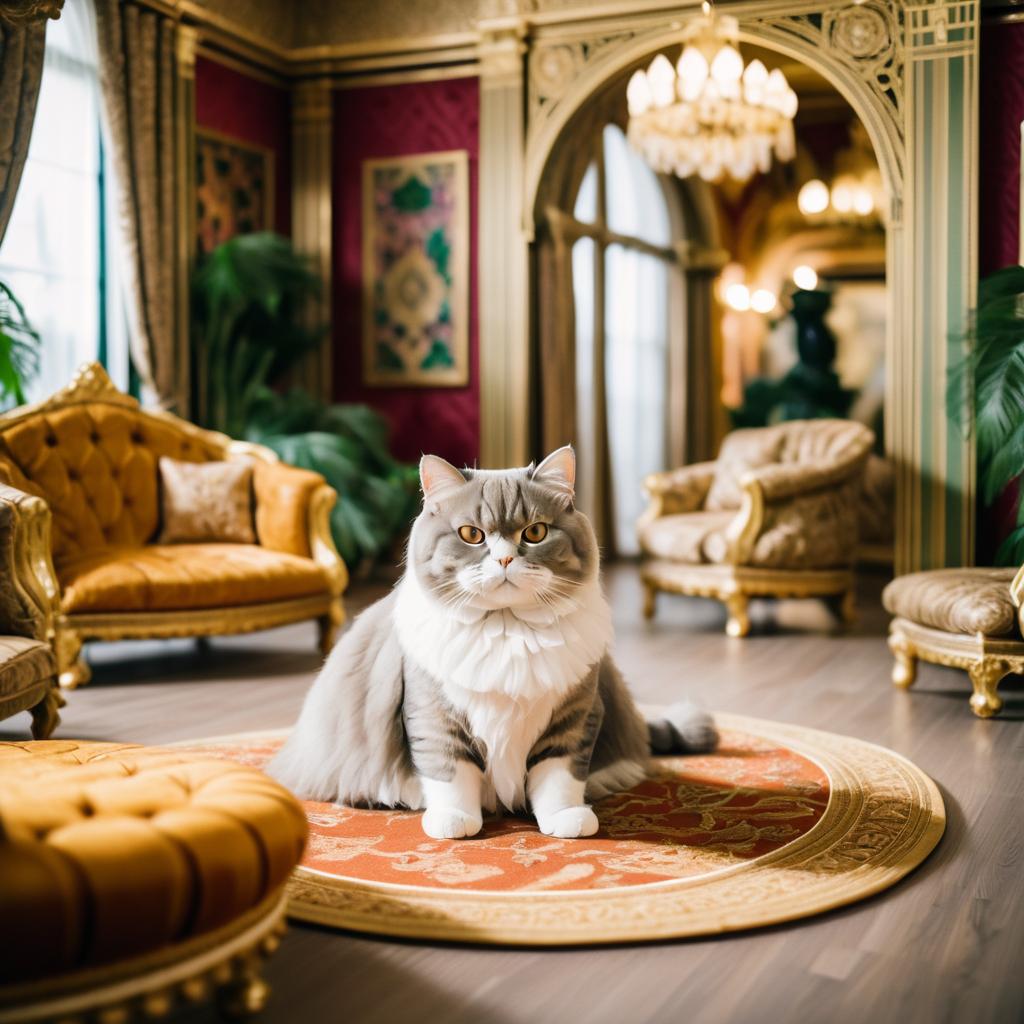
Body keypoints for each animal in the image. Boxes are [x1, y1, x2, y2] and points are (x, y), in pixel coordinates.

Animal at [272, 448, 720, 839]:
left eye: (535, 532)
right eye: (471, 535)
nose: (504, 560)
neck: (509, 631)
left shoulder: (573, 716)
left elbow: (559, 777)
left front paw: (566, 819)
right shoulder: (434, 715)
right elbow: (451, 774)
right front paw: (454, 821)